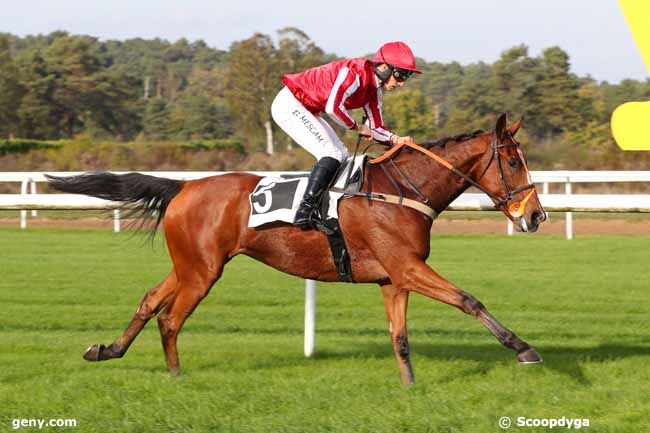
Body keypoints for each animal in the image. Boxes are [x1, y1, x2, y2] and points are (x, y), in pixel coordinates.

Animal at [45, 113, 544, 384]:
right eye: (513, 160)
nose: (536, 216)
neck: (401, 191)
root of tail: (183, 187)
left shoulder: (393, 278)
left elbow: (399, 338)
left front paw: (409, 387)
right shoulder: (407, 268)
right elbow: (469, 300)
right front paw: (523, 348)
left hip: (189, 264)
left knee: (150, 300)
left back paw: (106, 350)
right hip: (203, 270)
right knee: (170, 318)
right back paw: (175, 375)